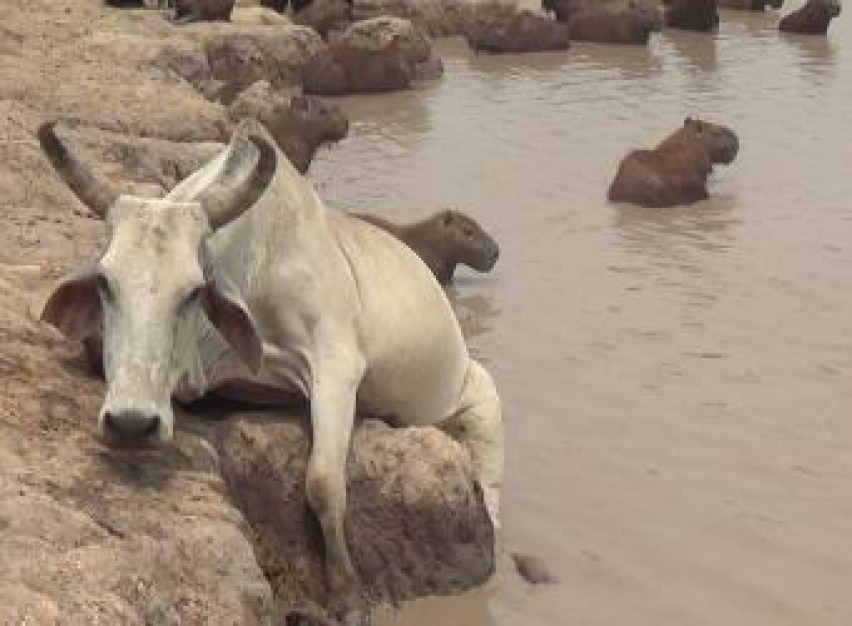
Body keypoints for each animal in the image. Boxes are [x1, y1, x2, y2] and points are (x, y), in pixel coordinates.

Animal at [40, 119, 502, 620]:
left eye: (194, 291)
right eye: (105, 282)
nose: (130, 423)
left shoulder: (336, 368)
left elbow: (323, 482)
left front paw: (346, 594)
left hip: (478, 398)